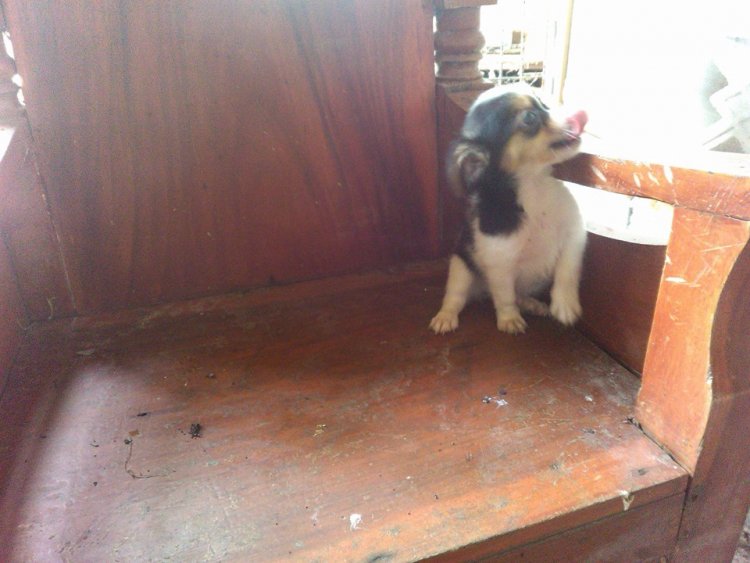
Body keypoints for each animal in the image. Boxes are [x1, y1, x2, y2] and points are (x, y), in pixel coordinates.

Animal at [430, 88, 588, 335]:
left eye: (544, 104)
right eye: (530, 117)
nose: (580, 113)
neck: (533, 185)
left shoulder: (574, 235)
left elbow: (567, 272)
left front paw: (565, 304)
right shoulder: (500, 266)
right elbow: (505, 297)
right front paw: (509, 319)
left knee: (520, 294)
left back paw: (531, 303)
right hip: (461, 268)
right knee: (455, 296)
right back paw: (445, 317)